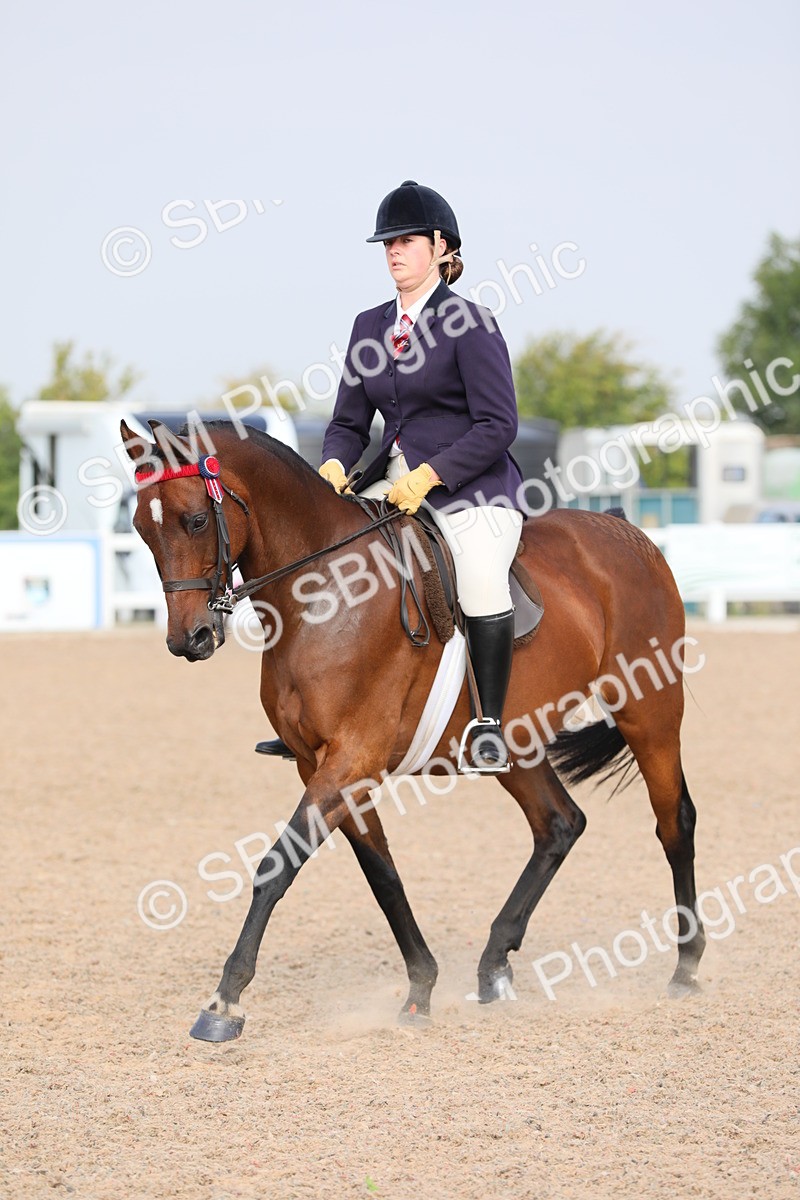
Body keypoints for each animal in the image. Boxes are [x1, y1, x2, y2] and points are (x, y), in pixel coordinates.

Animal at [121, 418, 705, 1042]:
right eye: (140, 528)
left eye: (196, 520)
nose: (190, 639)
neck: (323, 592)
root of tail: (626, 531)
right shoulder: (322, 765)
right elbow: (382, 874)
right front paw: (421, 987)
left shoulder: (351, 758)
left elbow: (276, 866)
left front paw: (224, 1001)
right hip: (516, 742)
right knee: (559, 824)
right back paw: (494, 966)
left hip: (648, 709)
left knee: (674, 820)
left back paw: (686, 968)